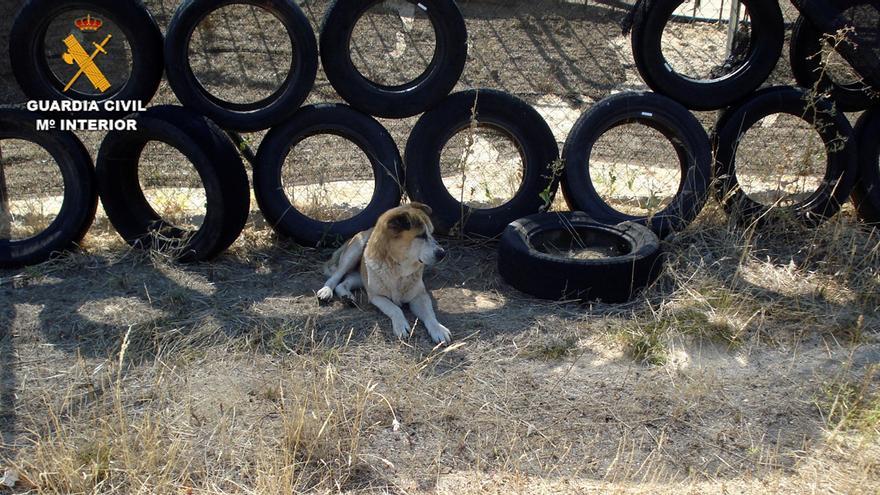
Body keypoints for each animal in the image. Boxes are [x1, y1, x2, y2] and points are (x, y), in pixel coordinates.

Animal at [316, 202, 450, 344]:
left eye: (431, 233)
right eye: (421, 235)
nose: (442, 253)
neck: (399, 270)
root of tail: (367, 230)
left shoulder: (420, 296)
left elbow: (430, 314)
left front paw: (438, 329)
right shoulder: (376, 296)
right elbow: (395, 308)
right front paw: (401, 325)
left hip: (361, 277)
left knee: (344, 283)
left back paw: (346, 296)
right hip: (354, 252)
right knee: (335, 277)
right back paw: (326, 291)